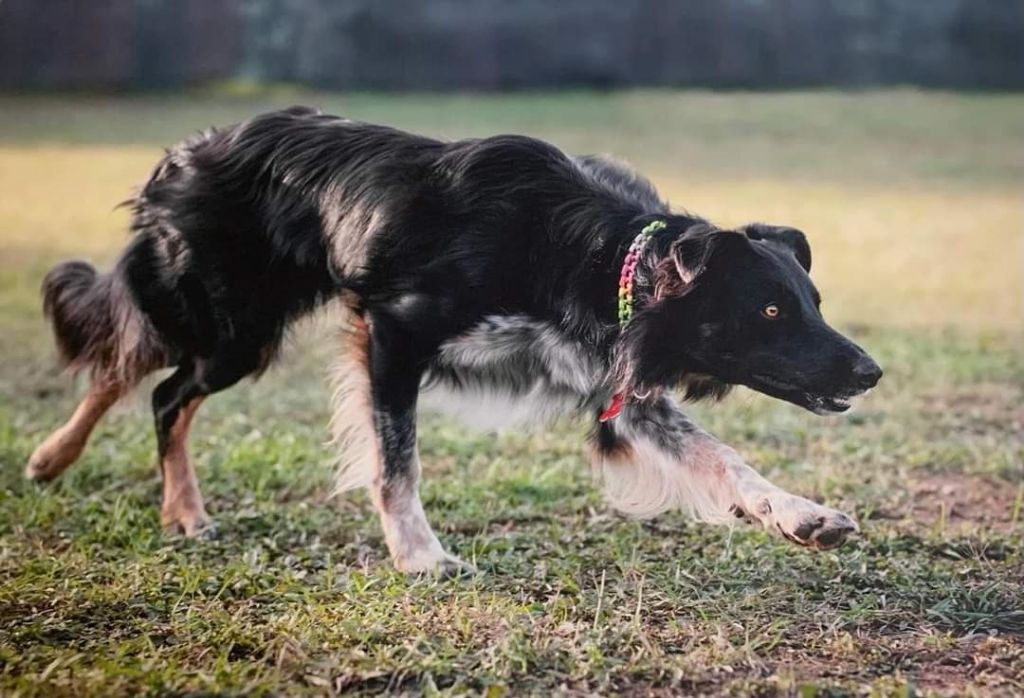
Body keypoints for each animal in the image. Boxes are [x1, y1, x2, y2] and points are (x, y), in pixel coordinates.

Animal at [29, 105, 880, 573]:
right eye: (768, 313)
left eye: (810, 302)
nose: (870, 372)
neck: (595, 258)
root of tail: (186, 151)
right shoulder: (394, 333)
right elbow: (395, 461)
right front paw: (420, 557)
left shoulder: (621, 390)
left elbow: (725, 460)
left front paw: (800, 515)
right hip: (229, 321)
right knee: (143, 369)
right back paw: (63, 458)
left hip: (232, 330)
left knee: (151, 378)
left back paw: (144, 495)